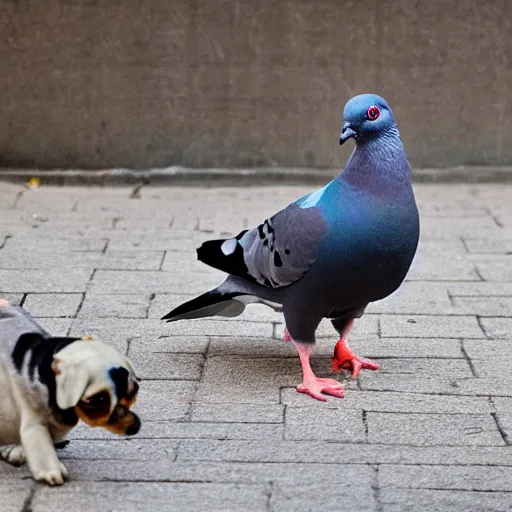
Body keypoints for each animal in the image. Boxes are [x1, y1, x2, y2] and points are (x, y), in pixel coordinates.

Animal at [0, 302, 140, 486]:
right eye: (97, 401)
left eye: (130, 392)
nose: (135, 426)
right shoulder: (32, 418)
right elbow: (38, 440)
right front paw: (50, 471)